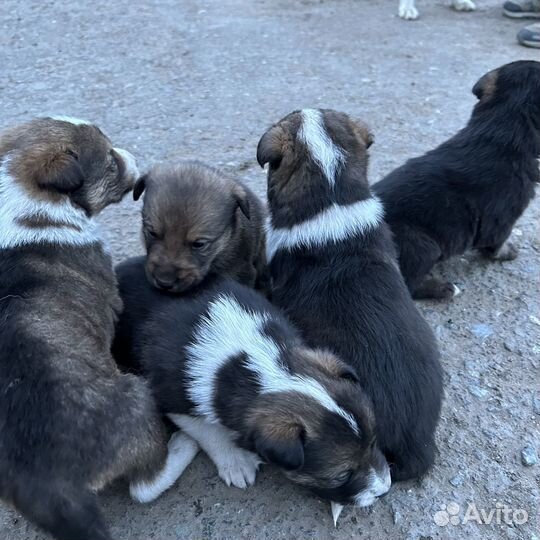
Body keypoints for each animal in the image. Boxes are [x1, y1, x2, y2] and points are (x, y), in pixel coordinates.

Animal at [0, 117, 198, 540]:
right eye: (109, 159)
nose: (133, 157)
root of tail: (45, 485)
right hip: (137, 400)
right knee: (145, 485)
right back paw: (183, 446)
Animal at [115, 258, 392, 516]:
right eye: (343, 475)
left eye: (374, 442)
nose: (385, 489)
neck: (259, 363)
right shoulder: (169, 394)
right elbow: (205, 428)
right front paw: (235, 461)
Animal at [372, 62, 540, 302]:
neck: (503, 129)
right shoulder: (501, 221)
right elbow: (497, 244)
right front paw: (508, 252)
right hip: (422, 245)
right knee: (409, 284)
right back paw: (442, 288)